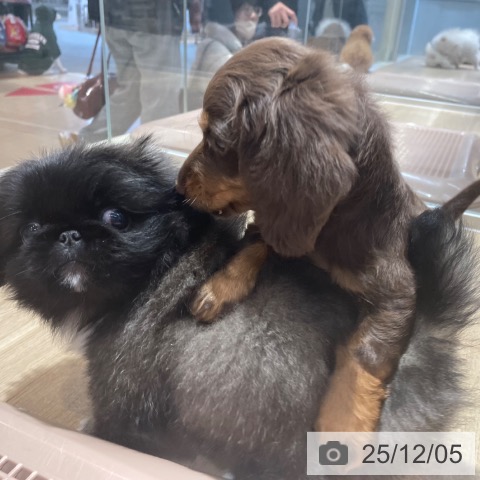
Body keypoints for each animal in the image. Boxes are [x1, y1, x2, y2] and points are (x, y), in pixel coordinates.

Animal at [0, 137, 477, 479]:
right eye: (33, 229)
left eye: (116, 218)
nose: (68, 235)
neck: (163, 263)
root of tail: (422, 340)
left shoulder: (121, 392)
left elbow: (113, 428)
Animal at [176, 37, 478, 432]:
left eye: (214, 138)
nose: (178, 185)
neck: (326, 233)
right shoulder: (281, 221)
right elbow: (257, 244)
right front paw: (220, 287)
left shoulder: (397, 295)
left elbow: (363, 353)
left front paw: (342, 427)